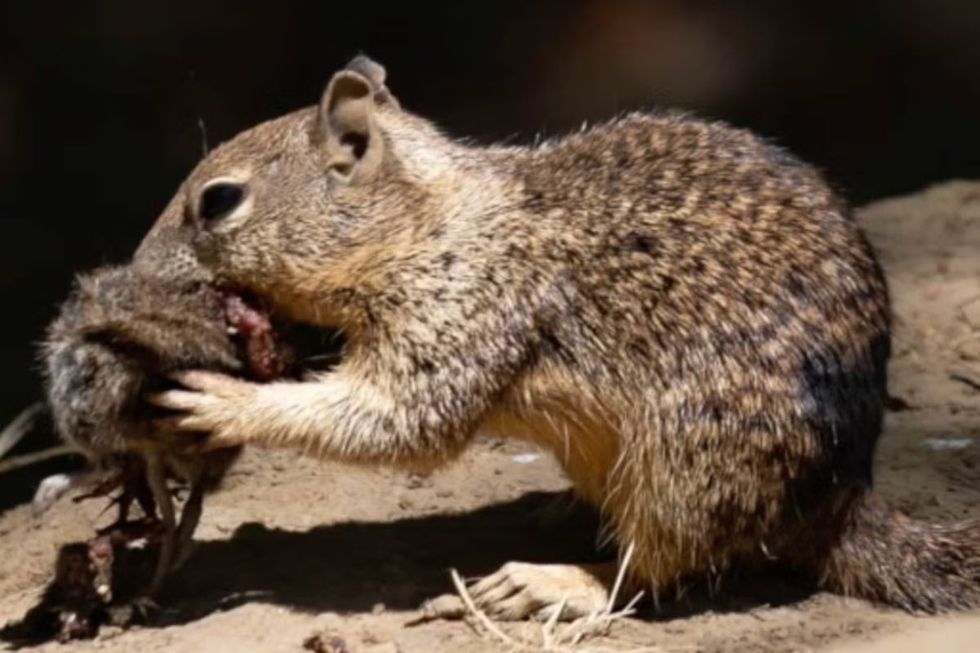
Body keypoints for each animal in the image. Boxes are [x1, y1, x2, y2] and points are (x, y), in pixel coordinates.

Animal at [134, 56, 976, 616]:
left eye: (219, 201)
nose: (137, 268)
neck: (425, 221)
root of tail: (842, 500)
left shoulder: (462, 308)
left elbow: (399, 419)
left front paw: (225, 401)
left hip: (687, 463)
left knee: (656, 570)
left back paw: (552, 580)